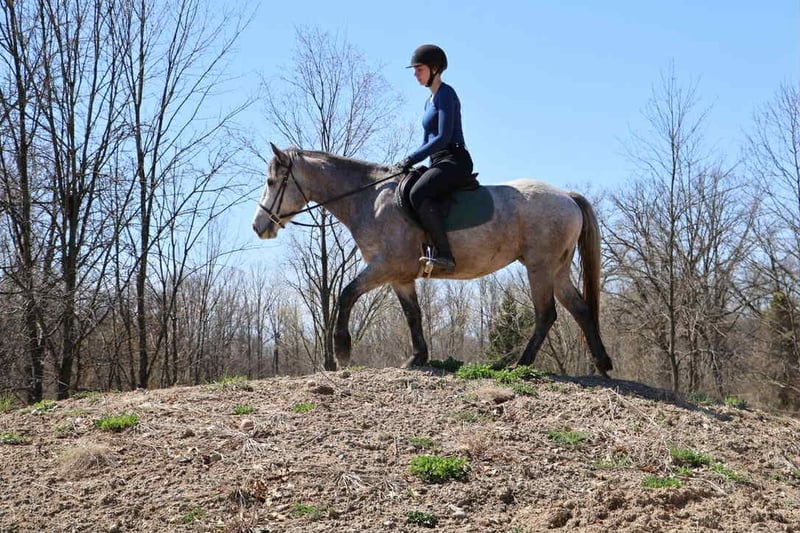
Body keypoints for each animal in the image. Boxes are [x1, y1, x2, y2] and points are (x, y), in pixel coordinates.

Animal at [252, 143, 613, 376]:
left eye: (271, 182)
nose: (259, 226)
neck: (369, 198)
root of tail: (567, 196)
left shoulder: (385, 266)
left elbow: (346, 293)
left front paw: (342, 351)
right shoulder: (399, 276)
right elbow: (413, 314)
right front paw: (417, 358)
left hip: (540, 267)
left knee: (546, 314)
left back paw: (520, 364)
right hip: (557, 269)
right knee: (579, 309)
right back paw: (603, 364)